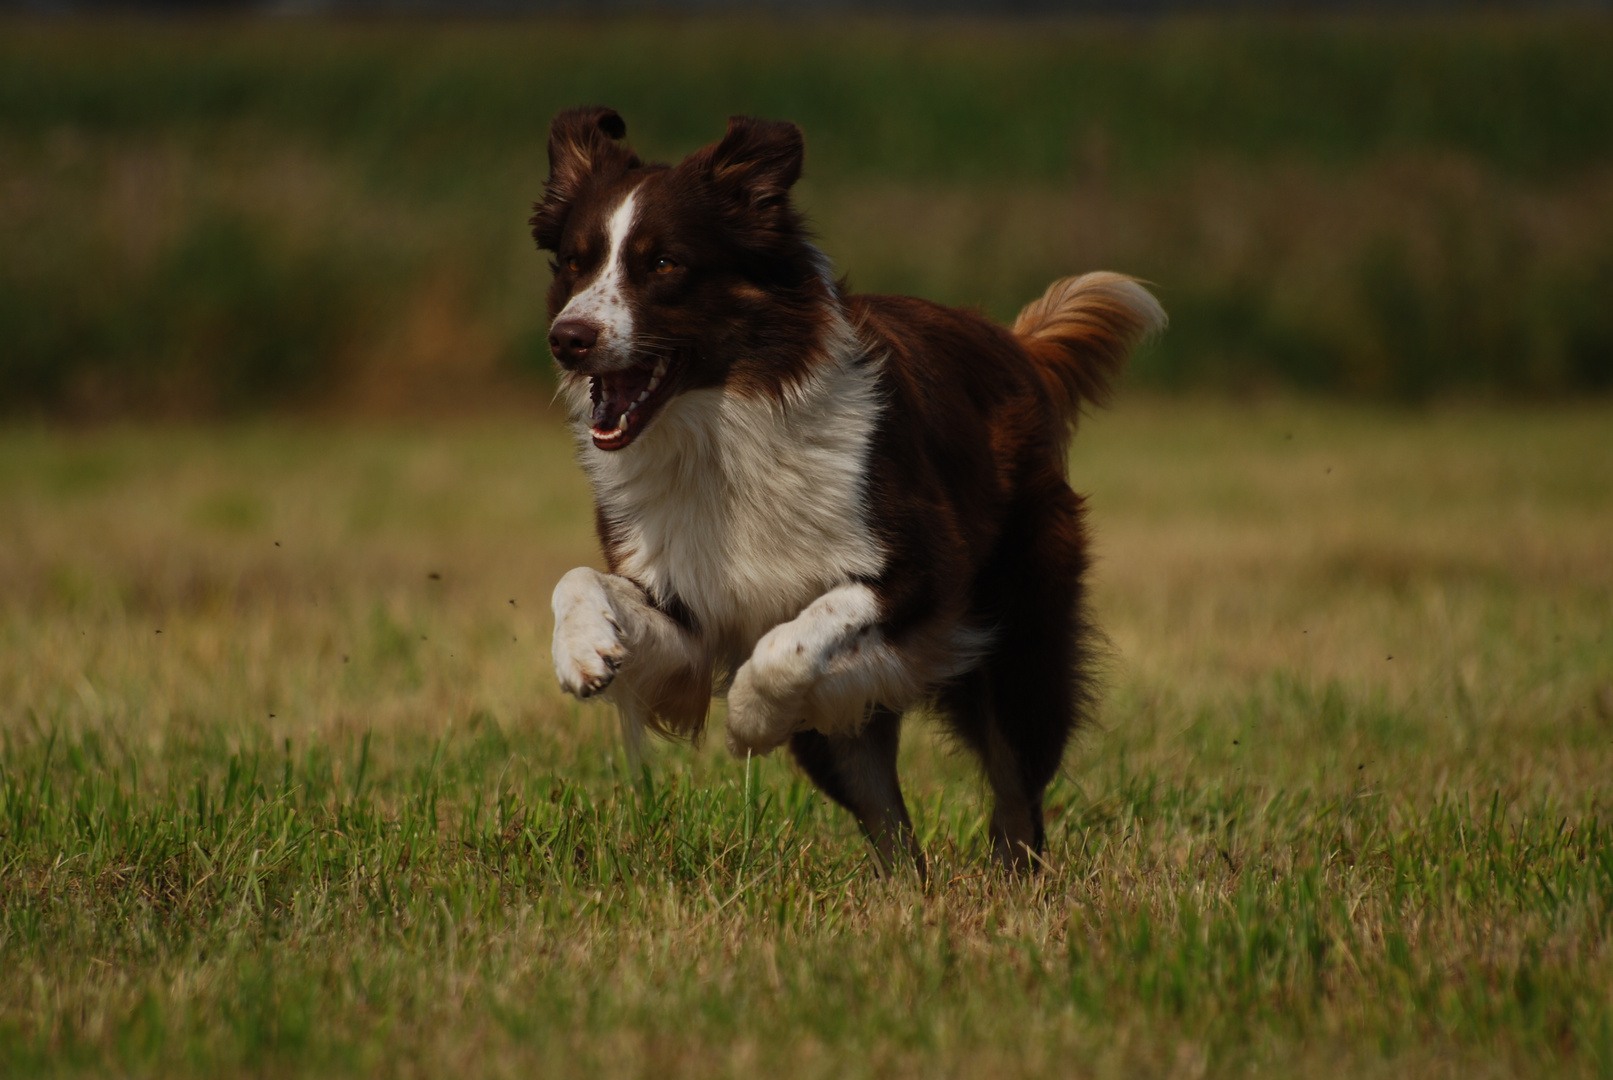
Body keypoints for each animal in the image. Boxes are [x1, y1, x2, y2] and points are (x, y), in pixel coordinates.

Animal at [538, 108, 1161, 870]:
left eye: (663, 264)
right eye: (576, 261)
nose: (567, 338)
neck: (723, 433)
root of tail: (1017, 346)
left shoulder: (922, 571)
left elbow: (791, 639)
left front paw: (748, 721)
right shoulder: (686, 606)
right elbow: (576, 577)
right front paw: (584, 653)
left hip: (1019, 641)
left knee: (1017, 792)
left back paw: (1015, 879)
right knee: (887, 820)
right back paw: (907, 890)